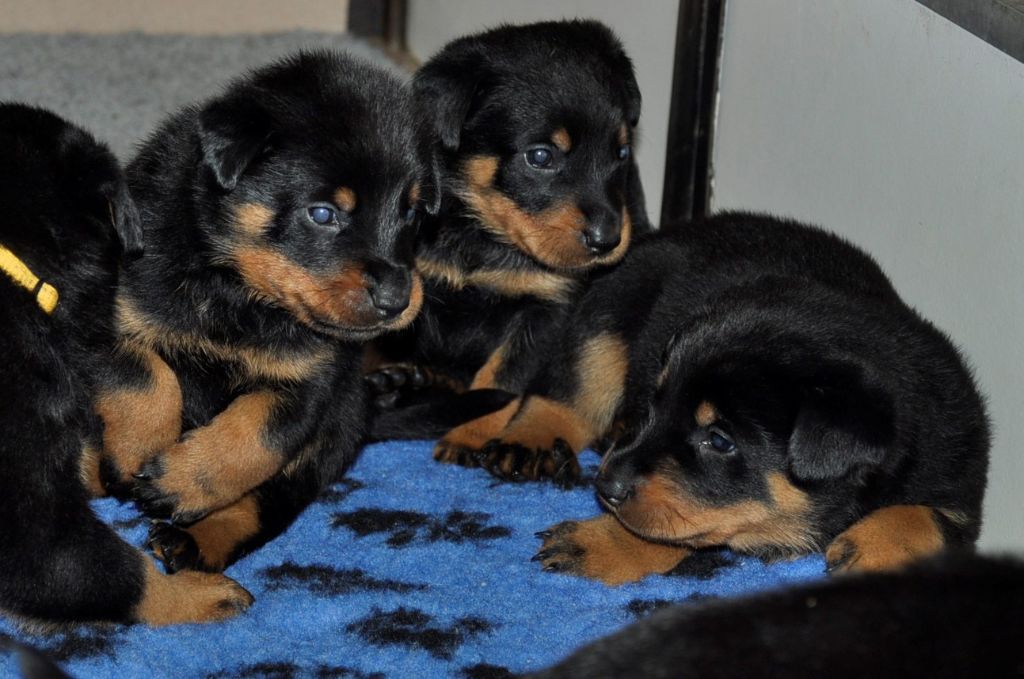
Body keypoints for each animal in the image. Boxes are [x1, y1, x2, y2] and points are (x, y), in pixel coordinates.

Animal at [90, 50, 438, 577]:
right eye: (322, 214)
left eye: (412, 213)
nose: (398, 299)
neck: (238, 293)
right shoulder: (116, 312)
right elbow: (147, 376)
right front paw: (139, 450)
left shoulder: (308, 383)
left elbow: (256, 438)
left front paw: (180, 482)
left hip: (331, 436)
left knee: (267, 503)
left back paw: (191, 542)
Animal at [368, 18, 651, 481]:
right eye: (541, 156)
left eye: (622, 152)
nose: (607, 239)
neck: (479, 231)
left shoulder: (545, 309)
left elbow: (501, 376)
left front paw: (467, 437)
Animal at [499, 214, 987, 585]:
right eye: (655, 404)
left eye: (719, 440)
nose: (605, 486)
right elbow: (669, 526)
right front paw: (601, 544)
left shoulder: (958, 475)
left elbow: (931, 517)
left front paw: (875, 551)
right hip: (608, 312)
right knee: (567, 395)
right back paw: (527, 443)